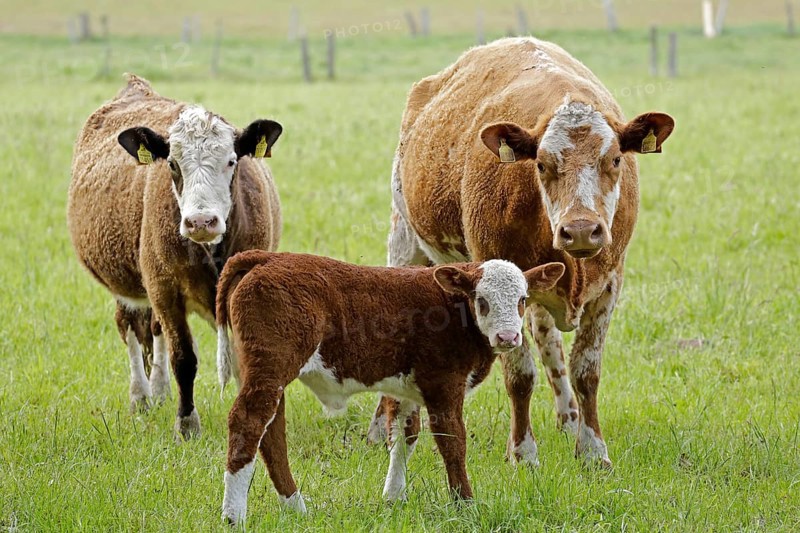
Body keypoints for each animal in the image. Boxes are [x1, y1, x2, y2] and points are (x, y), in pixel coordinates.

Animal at [68, 74, 283, 440]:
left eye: (231, 161)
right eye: (172, 163)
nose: (201, 221)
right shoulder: (165, 291)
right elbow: (184, 358)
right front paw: (186, 423)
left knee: (154, 330)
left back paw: (158, 391)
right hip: (130, 289)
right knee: (130, 328)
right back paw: (141, 396)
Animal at [214, 250, 565, 524]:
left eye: (522, 300)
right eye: (482, 300)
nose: (508, 337)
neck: (452, 307)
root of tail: (266, 257)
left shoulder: (407, 390)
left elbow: (403, 436)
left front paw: (394, 497)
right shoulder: (444, 384)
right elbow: (453, 441)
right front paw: (465, 505)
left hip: (263, 374)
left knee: (272, 434)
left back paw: (295, 507)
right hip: (271, 369)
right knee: (248, 423)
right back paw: (234, 516)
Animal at [368, 37, 675, 468]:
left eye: (615, 159)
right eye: (542, 164)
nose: (581, 229)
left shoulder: (609, 283)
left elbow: (586, 369)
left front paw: (592, 449)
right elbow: (520, 374)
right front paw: (523, 453)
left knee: (549, 341)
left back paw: (568, 418)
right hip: (404, 241)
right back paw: (383, 429)